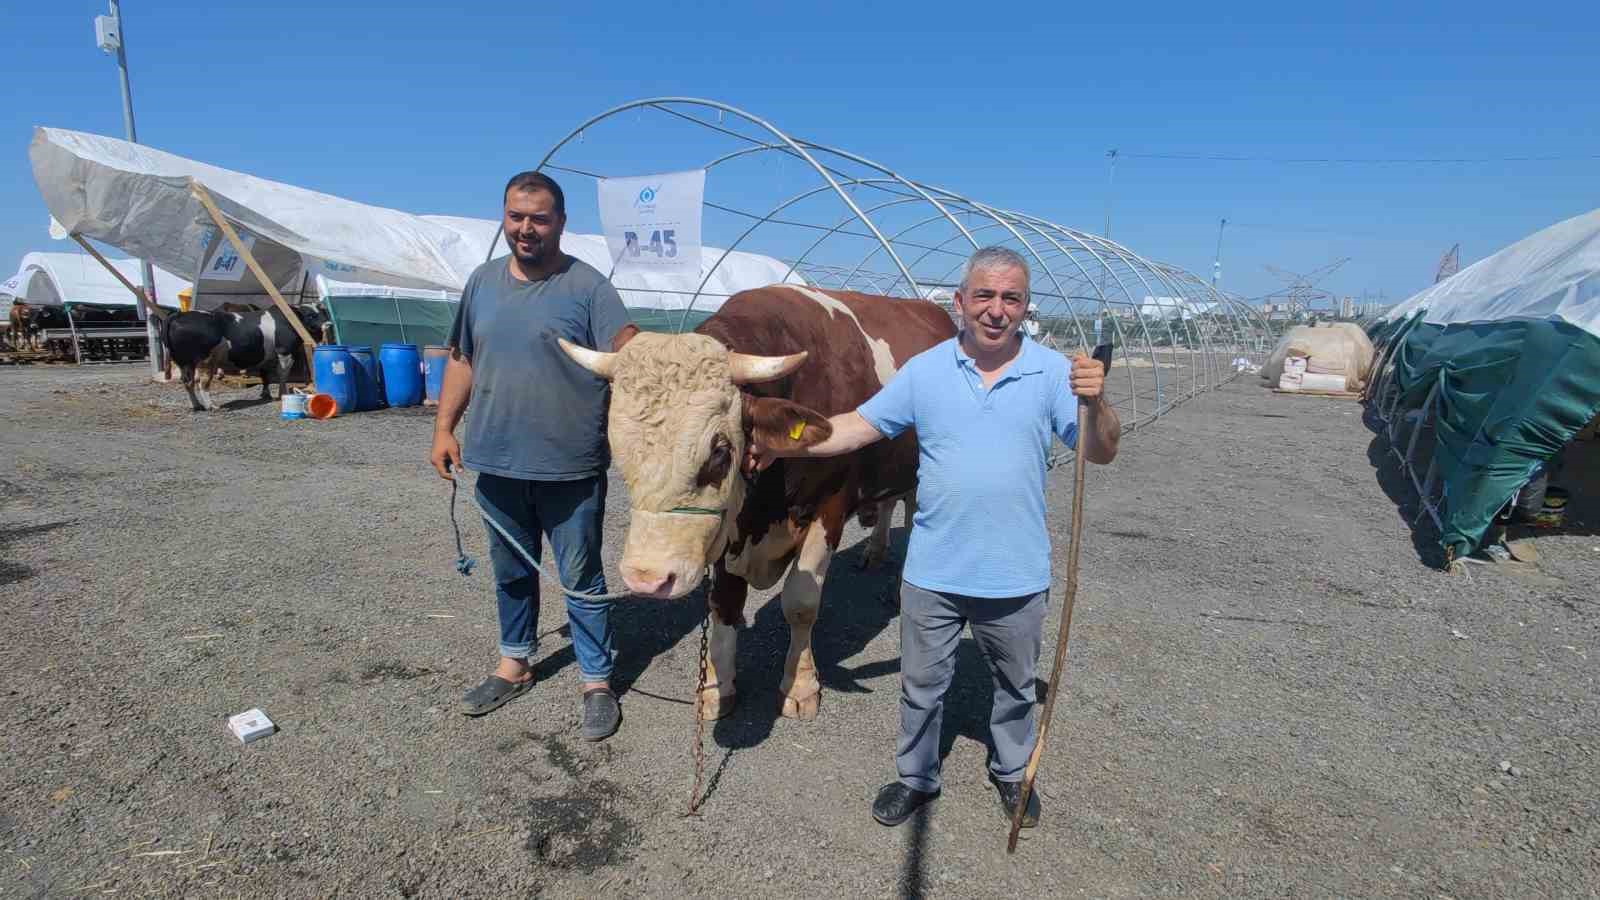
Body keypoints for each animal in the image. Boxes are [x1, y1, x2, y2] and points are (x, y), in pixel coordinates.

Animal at [162, 304, 324, 409]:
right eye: (311, 315)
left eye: (322, 312)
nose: (327, 323)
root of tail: (179, 314)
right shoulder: (285, 352)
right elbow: (282, 375)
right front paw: (282, 394)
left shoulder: (266, 357)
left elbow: (265, 376)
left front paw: (266, 394)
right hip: (205, 361)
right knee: (202, 383)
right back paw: (211, 405)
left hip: (184, 362)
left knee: (187, 382)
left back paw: (196, 405)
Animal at [563, 283, 953, 717]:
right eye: (616, 449)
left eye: (719, 452)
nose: (647, 579)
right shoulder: (727, 526)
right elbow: (724, 604)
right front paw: (717, 687)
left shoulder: (829, 507)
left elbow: (801, 603)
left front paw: (800, 686)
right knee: (888, 503)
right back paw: (875, 550)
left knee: (913, 507)